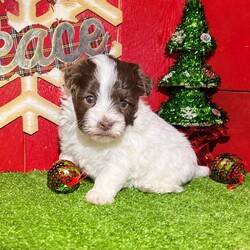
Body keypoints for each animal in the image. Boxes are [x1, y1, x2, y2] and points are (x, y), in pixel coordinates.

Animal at [58, 54, 209, 205]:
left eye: (123, 103)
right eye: (90, 99)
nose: (106, 124)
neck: (96, 141)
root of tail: (195, 167)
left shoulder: (120, 158)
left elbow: (108, 176)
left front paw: (98, 194)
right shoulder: (69, 145)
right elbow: (66, 158)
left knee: (173, 184)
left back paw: (150, 185)